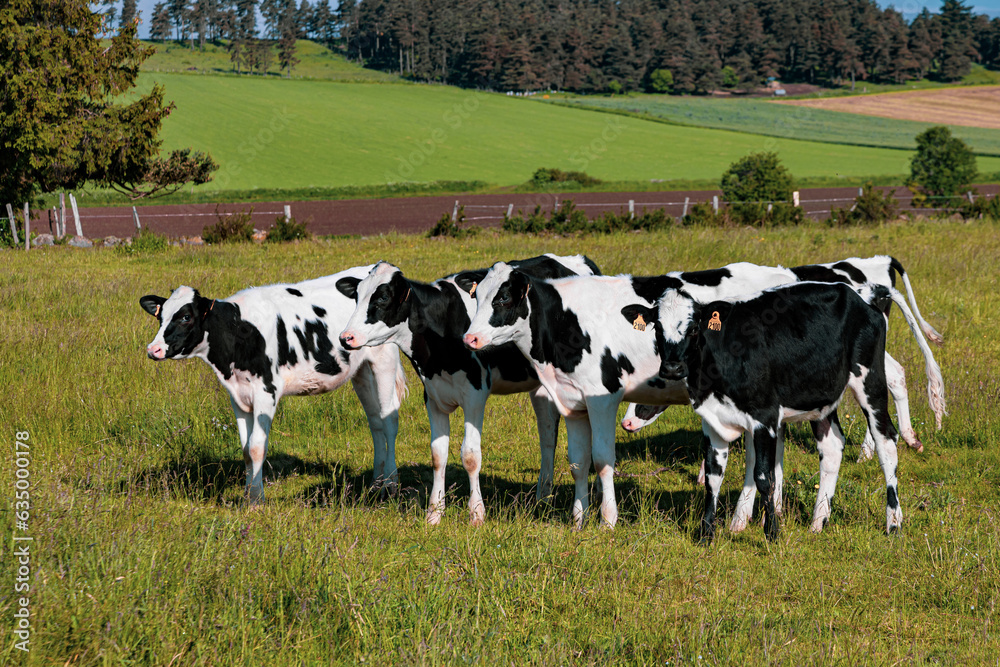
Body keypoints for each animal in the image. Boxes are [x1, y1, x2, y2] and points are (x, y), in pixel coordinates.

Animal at [140, 266, 406, 500]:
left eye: (186, 316)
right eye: (160, 316)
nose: (154, 349)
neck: (239, 331)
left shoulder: (265, 392)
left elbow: (257, 447)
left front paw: (256, 500)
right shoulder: (238, 396)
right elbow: (246, 450)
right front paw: (247, 495)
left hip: (385, 359)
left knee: (389, 418)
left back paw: (391, 486)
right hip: (360, 371)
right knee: (375, 421)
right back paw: (375, 484)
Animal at [336, 253, 600, 524]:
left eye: (383, 298)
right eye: (357, 296)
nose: (346, 337)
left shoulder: (475, 394)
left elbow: (471, 456)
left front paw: (476, 514)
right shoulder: (432, 395)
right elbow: (438, 455)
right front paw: (434, 514)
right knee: (547, 434)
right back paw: (542, 497)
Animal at [656, 282, 908, 544]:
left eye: (694, 328)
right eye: (657, 327)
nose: (672, 368)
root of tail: (858, 292)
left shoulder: (764, 417)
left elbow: (764, 477)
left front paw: (772, 534)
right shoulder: (712, 420)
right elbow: (713, 478)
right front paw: (706, 534)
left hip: (870, 380)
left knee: (886, 442)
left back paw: (893, 523)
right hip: (821, 395)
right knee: (832, 446)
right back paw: (818, 523)